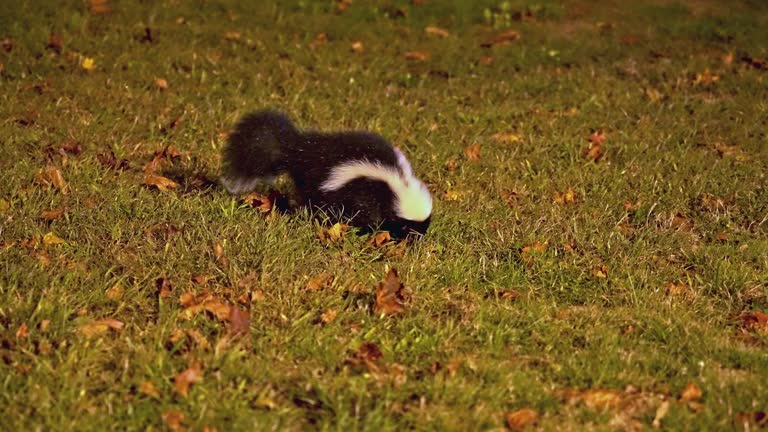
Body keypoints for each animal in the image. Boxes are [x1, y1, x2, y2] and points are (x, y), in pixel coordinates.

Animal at [222, 111, 432, 238]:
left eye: (424, 226)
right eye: (406, 226)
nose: (415, 240)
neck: (398, 183)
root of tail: (298, 151)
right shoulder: (366, 191)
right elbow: (368, 214)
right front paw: (370, 230)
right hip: (319, 185)